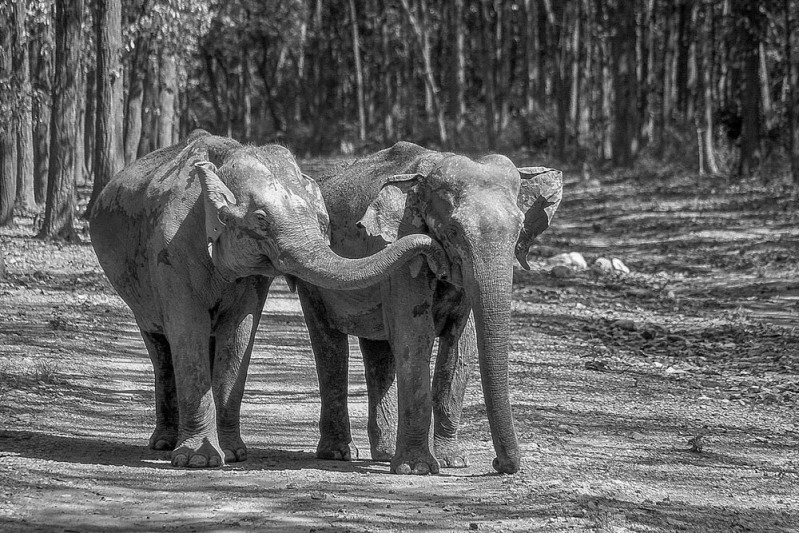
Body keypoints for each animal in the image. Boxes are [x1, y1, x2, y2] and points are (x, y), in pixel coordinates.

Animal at [90, 131, 450, 468]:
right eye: (261, 219)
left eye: (322, 221)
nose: (434, 251)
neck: (226, 161)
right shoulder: (168, 251)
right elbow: (187, 331)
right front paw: (199, 460)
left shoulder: (252, 278)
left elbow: (239, 333)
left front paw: (233, 454)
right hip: (136, 288)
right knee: (160, 345)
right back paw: (164, 444)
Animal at [294, 141, 564, 474]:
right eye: (454, 232)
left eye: (520, 229)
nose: (498, 463)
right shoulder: (402, 246)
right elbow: (415, 335)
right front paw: (417, 469)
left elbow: (460, 345)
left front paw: (454, 461)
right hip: (311, 278)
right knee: (330, 346)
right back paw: (339, 453)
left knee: (379, 352)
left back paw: (383, 454)